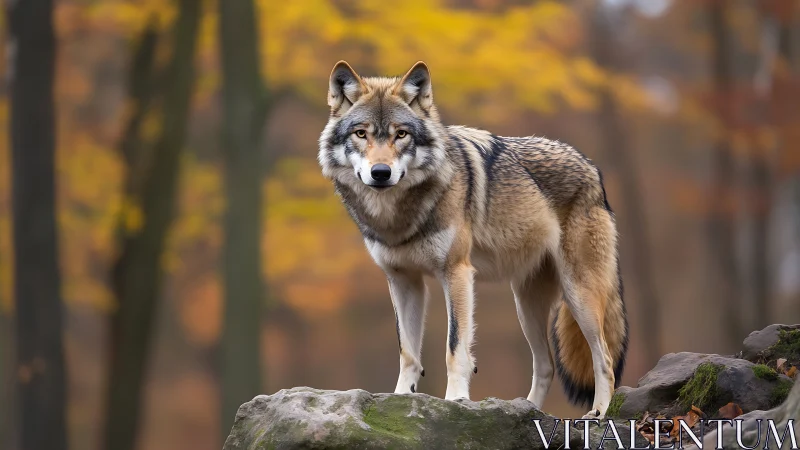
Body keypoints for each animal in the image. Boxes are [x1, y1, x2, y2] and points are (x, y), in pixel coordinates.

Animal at [317, 61, 628, 419]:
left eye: (401, 134)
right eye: (361, 133)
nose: (381, 172)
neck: (398, 216)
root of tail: (593, 169)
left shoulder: (457, 272)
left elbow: (455, 347)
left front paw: (456, 400)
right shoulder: (403, 281)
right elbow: (408, 352)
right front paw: (400, 399)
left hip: (579, 296)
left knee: (604, 360)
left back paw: (599, 413)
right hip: (526, 307)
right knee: (545, 365)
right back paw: (525, 411)